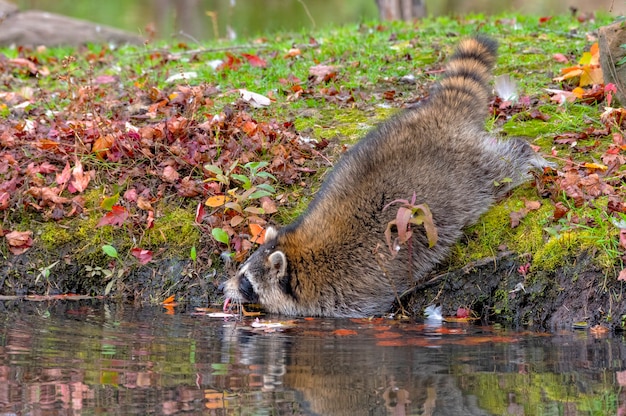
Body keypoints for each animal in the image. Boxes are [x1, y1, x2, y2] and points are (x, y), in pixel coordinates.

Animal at [222, 36, 548, 318]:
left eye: (247, 282)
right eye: (241, 271)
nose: (223, 287)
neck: (299, 255)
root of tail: (434, 115)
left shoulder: (349, 293)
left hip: (469, 172)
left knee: (499, 168)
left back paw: (524, 155)